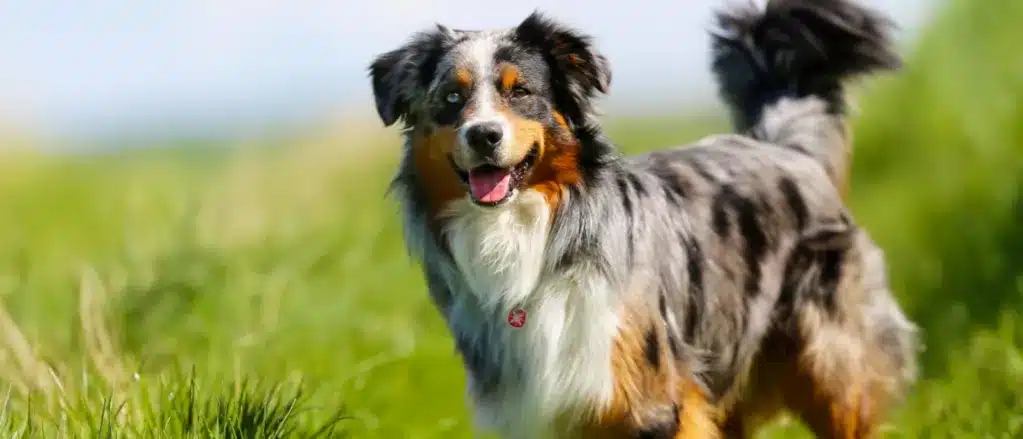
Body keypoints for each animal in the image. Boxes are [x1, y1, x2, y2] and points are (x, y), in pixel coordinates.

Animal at [368, 0, 920, 433]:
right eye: (452, 98)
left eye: (520, 91)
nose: (484, 135)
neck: (529, 239)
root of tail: (786, 148)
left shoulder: (654, 400)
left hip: (832, 368)